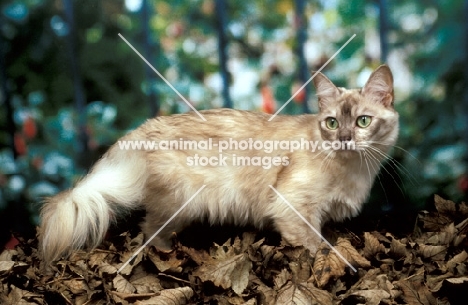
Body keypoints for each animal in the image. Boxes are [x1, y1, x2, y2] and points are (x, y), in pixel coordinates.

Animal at [41, 64, 398, 264]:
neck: (353, 169)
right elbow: (316, 247)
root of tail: (145, 127)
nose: (345, 139)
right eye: (333, 123)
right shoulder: (293, 208)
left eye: (363, 121)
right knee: (150, 234)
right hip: (177, 205)